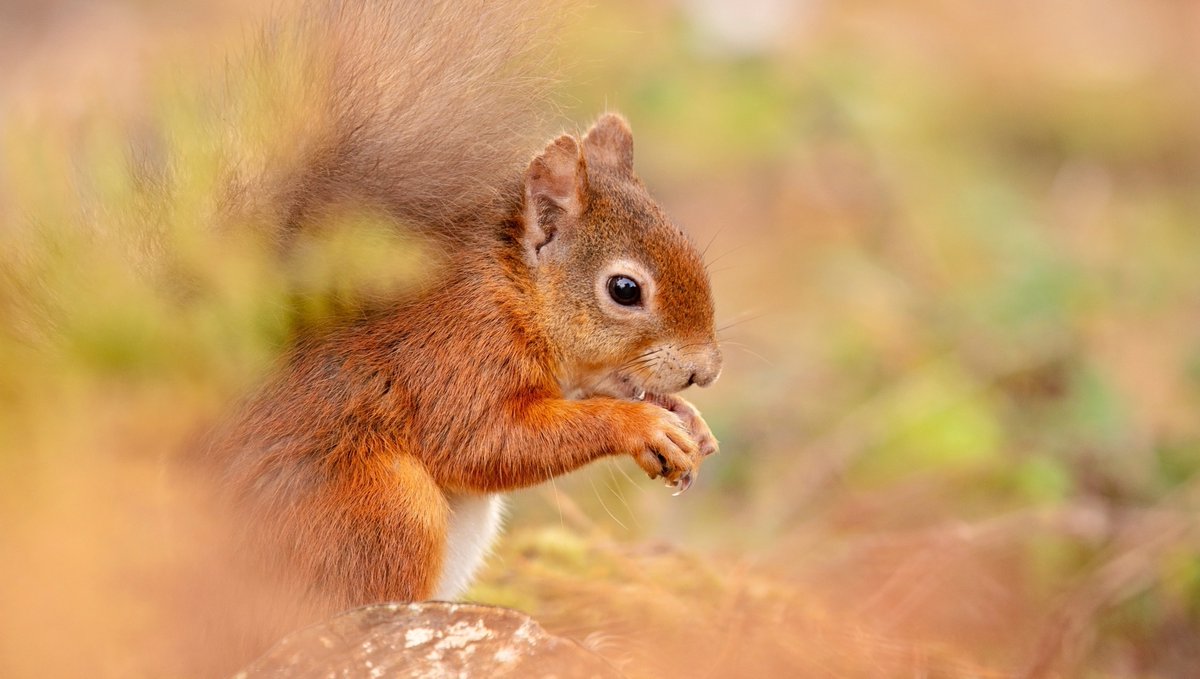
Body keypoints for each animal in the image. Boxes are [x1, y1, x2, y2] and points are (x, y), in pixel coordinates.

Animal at [189, 0, 722, 665]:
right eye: (625, 289)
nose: (707, 369)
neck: (515, 292)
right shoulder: (455, 354)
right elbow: (486, 442)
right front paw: (642, 426)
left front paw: (691, 423)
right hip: (383, 508)